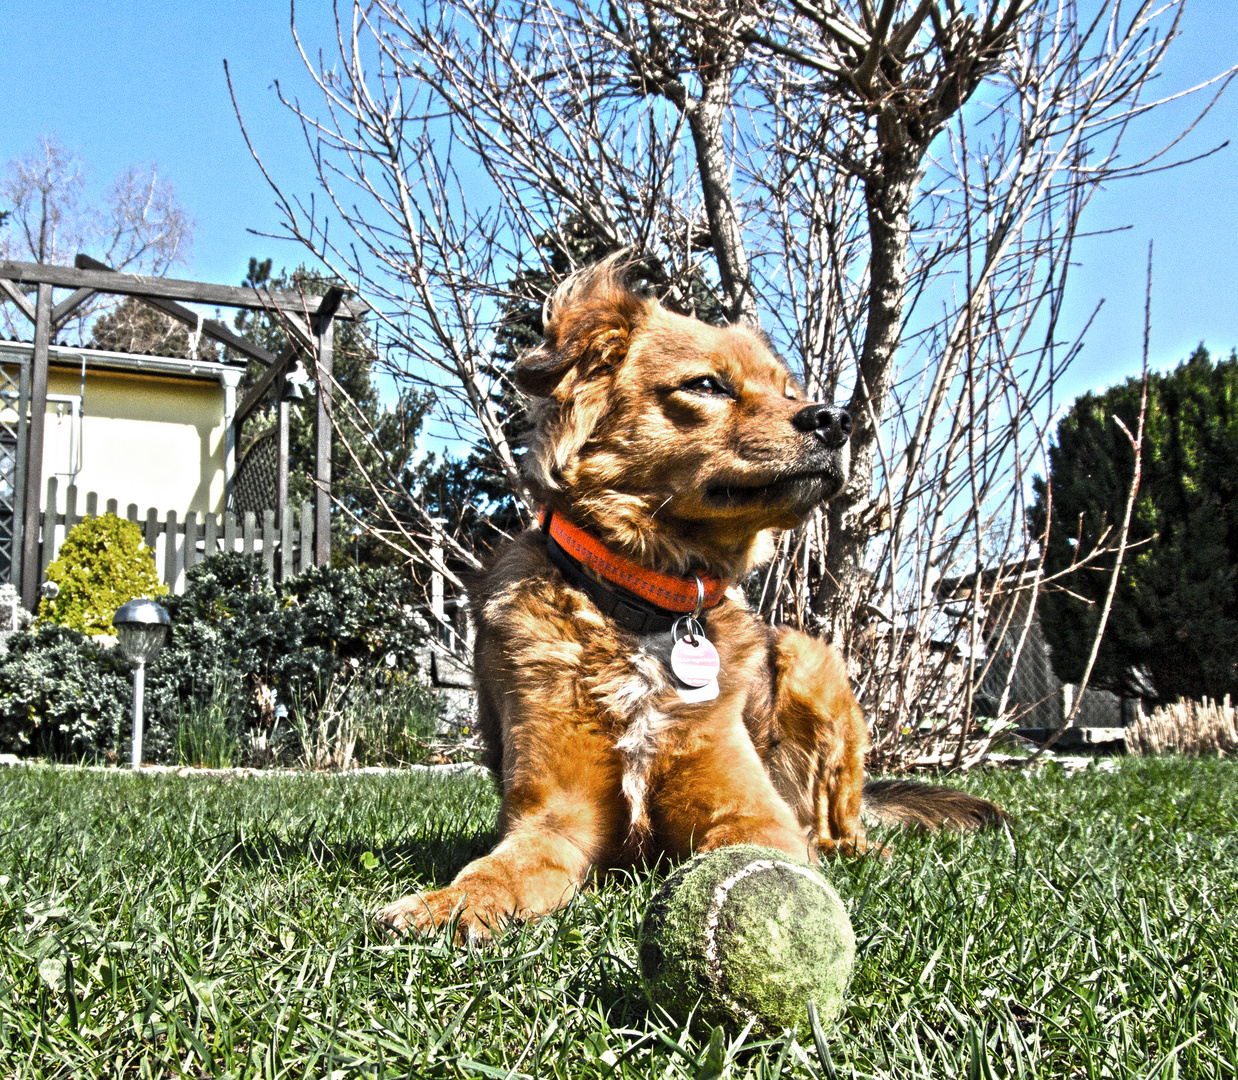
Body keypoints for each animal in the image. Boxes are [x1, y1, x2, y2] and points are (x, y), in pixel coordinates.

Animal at [378, 258, 1005, 936]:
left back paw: (865, 850)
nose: (836, 420)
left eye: (789, 393)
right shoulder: (553, 820)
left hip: (812, 663)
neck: (647, 609)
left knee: (842, 828)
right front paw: (451, 902)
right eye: (707, 385)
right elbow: (499, 869)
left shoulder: (756, 818)